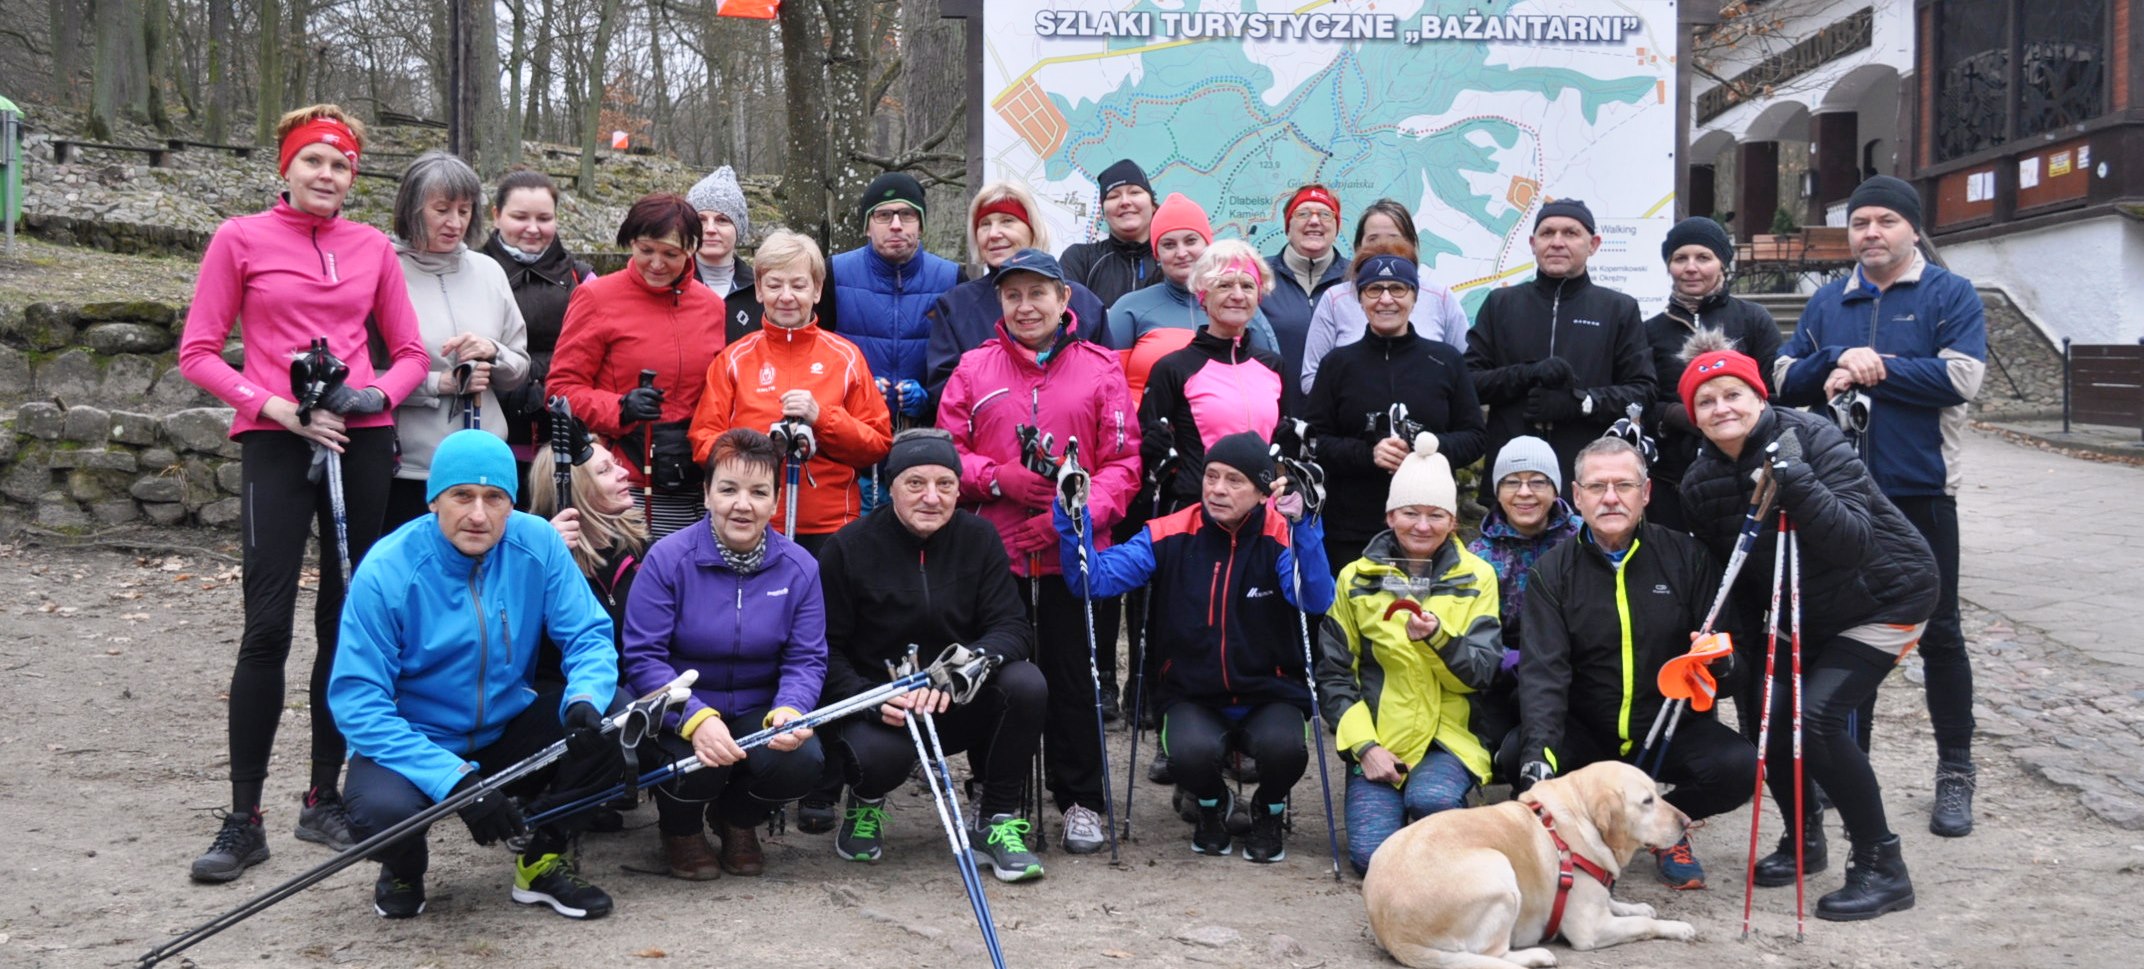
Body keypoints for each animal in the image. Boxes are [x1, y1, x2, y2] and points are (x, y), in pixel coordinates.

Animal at [1362, 761, 1698, 968]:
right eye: (1646, 801)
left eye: (1658, 793)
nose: (1688, 821)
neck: (1579, 815)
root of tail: (1393, 933)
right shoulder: (1590, 928)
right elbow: (1644, 925)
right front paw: (1677, 927)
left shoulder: (1598, 902)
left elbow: (1620, 905)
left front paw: (1638, 906)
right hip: (1499, 868)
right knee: (1493, 956)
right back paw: (1536, 956)